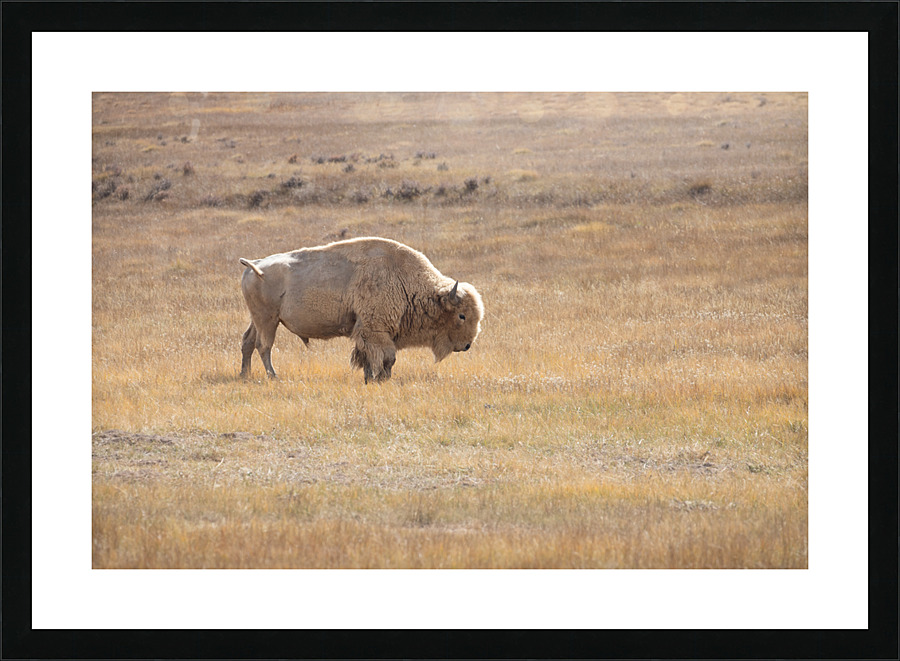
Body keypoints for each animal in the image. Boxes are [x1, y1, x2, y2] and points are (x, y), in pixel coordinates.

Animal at [239, 237, 484, 383]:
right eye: (462, 315)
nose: (467, 345)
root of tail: (255, 265)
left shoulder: (367, 331)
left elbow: (367, 356)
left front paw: (370, 379)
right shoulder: (375, 330)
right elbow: (387, 357)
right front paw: (380, 379)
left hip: (258, 319)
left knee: (248, 342)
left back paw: (245, 374)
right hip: (268, 320)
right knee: (264, 346)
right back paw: (273, 376)